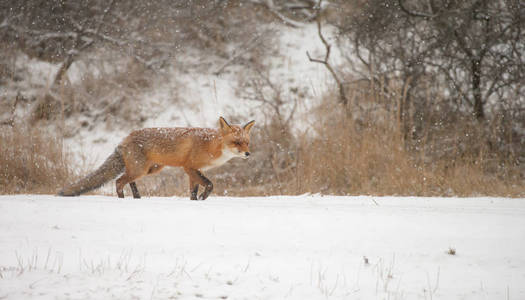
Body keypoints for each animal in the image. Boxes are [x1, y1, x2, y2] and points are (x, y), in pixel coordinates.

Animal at [57, 117, 254, 199]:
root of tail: (125, 138)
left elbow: (192, 192)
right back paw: (123, 199)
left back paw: (137, 197)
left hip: (149, 169)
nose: (248, 154)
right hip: (141, 169)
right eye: (236, 142)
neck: (211, 146)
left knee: (128, 180)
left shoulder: (193, 171)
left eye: (246, 143)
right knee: (119, 181)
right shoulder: (189, 168)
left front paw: (197, 201)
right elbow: (210, 185)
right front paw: (203, 198)